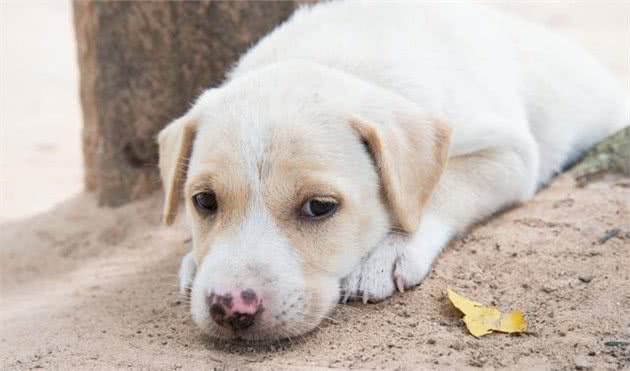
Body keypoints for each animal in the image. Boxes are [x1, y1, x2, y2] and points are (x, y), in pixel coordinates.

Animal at [157, 1, 628, 342]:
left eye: (319, 207)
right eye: (204, 201)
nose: (229, 308)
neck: (334, 59)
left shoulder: (509, 153)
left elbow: (439, 189)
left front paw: (388, 252)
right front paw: (194, 260)